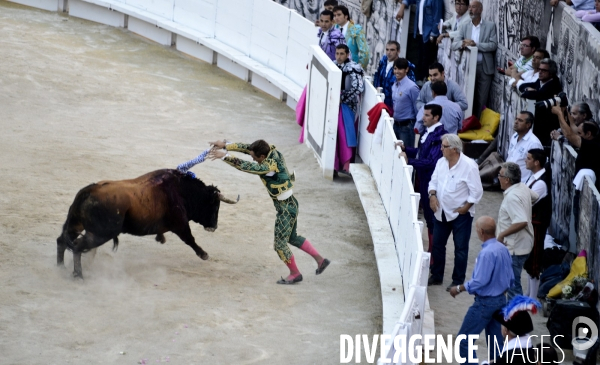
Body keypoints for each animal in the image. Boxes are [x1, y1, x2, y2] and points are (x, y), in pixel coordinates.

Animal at [54, 169, 237, 278]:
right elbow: (190, 239)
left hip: (76, 225)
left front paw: (160, 238)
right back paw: (78, 275)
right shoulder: (180, 224)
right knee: (78, 246)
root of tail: (87, 191)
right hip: (100, 234)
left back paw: (61, 267)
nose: (213, 226)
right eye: (215, 205)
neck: (180, 191)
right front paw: (204, 254)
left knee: (62, 241)